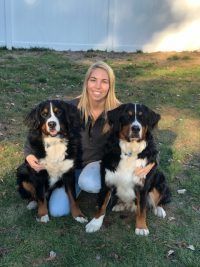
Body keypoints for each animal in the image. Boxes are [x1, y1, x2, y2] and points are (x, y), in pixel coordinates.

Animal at [85, 103, 171, 236]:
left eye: (142, 117)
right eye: (127, 116)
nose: (136, 128)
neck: (130, 151)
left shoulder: (143, 185)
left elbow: (142, 209)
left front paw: (141, 227)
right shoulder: (106, 181)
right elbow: (102, 204)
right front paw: (95, 223)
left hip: (159, 178)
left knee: (158, 199)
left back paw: (159, 209)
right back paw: (119, 205)